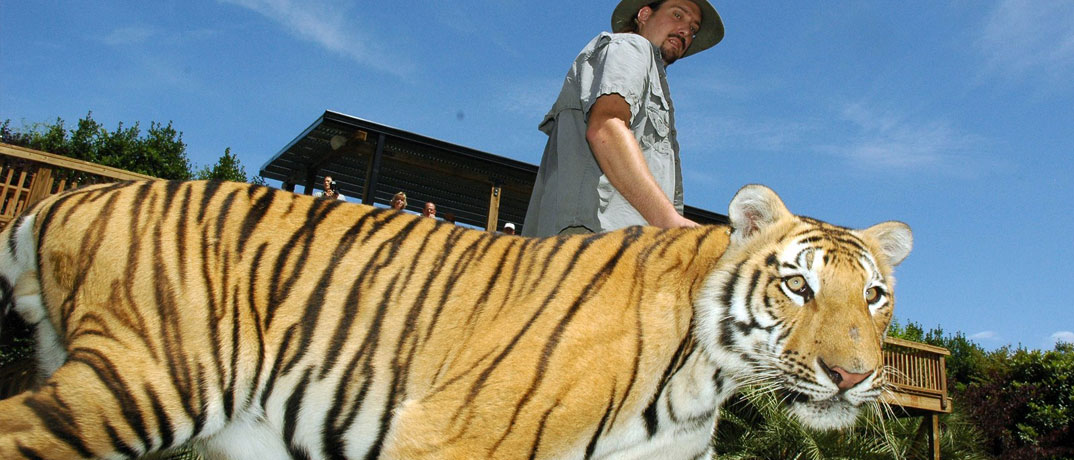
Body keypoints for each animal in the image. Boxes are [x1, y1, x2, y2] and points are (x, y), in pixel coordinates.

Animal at [0, 180, 910, 460]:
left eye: (873, 297)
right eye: (797, 287)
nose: (854, 376)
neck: (702, 383)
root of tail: (69, 195)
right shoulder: (451, 435)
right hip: (144, 381)